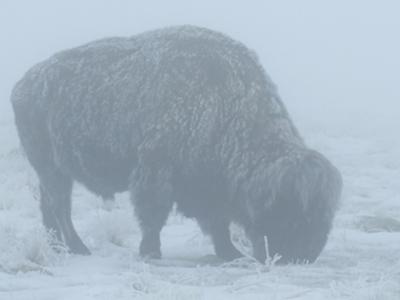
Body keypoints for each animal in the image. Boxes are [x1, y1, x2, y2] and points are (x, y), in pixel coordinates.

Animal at [10, 26, 340, 264]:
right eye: (288, 207)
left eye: (327, 213)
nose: (302, 255)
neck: (227, 105)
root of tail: (24, 84)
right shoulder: (156, 173)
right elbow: (154, 216)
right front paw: (150, 252)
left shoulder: (208, 188)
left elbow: (217, 223)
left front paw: (231, 253)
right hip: (52, 170)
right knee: (60, 206)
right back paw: (79, 248)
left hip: (52, 172)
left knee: (49, 205)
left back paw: (59, 246)